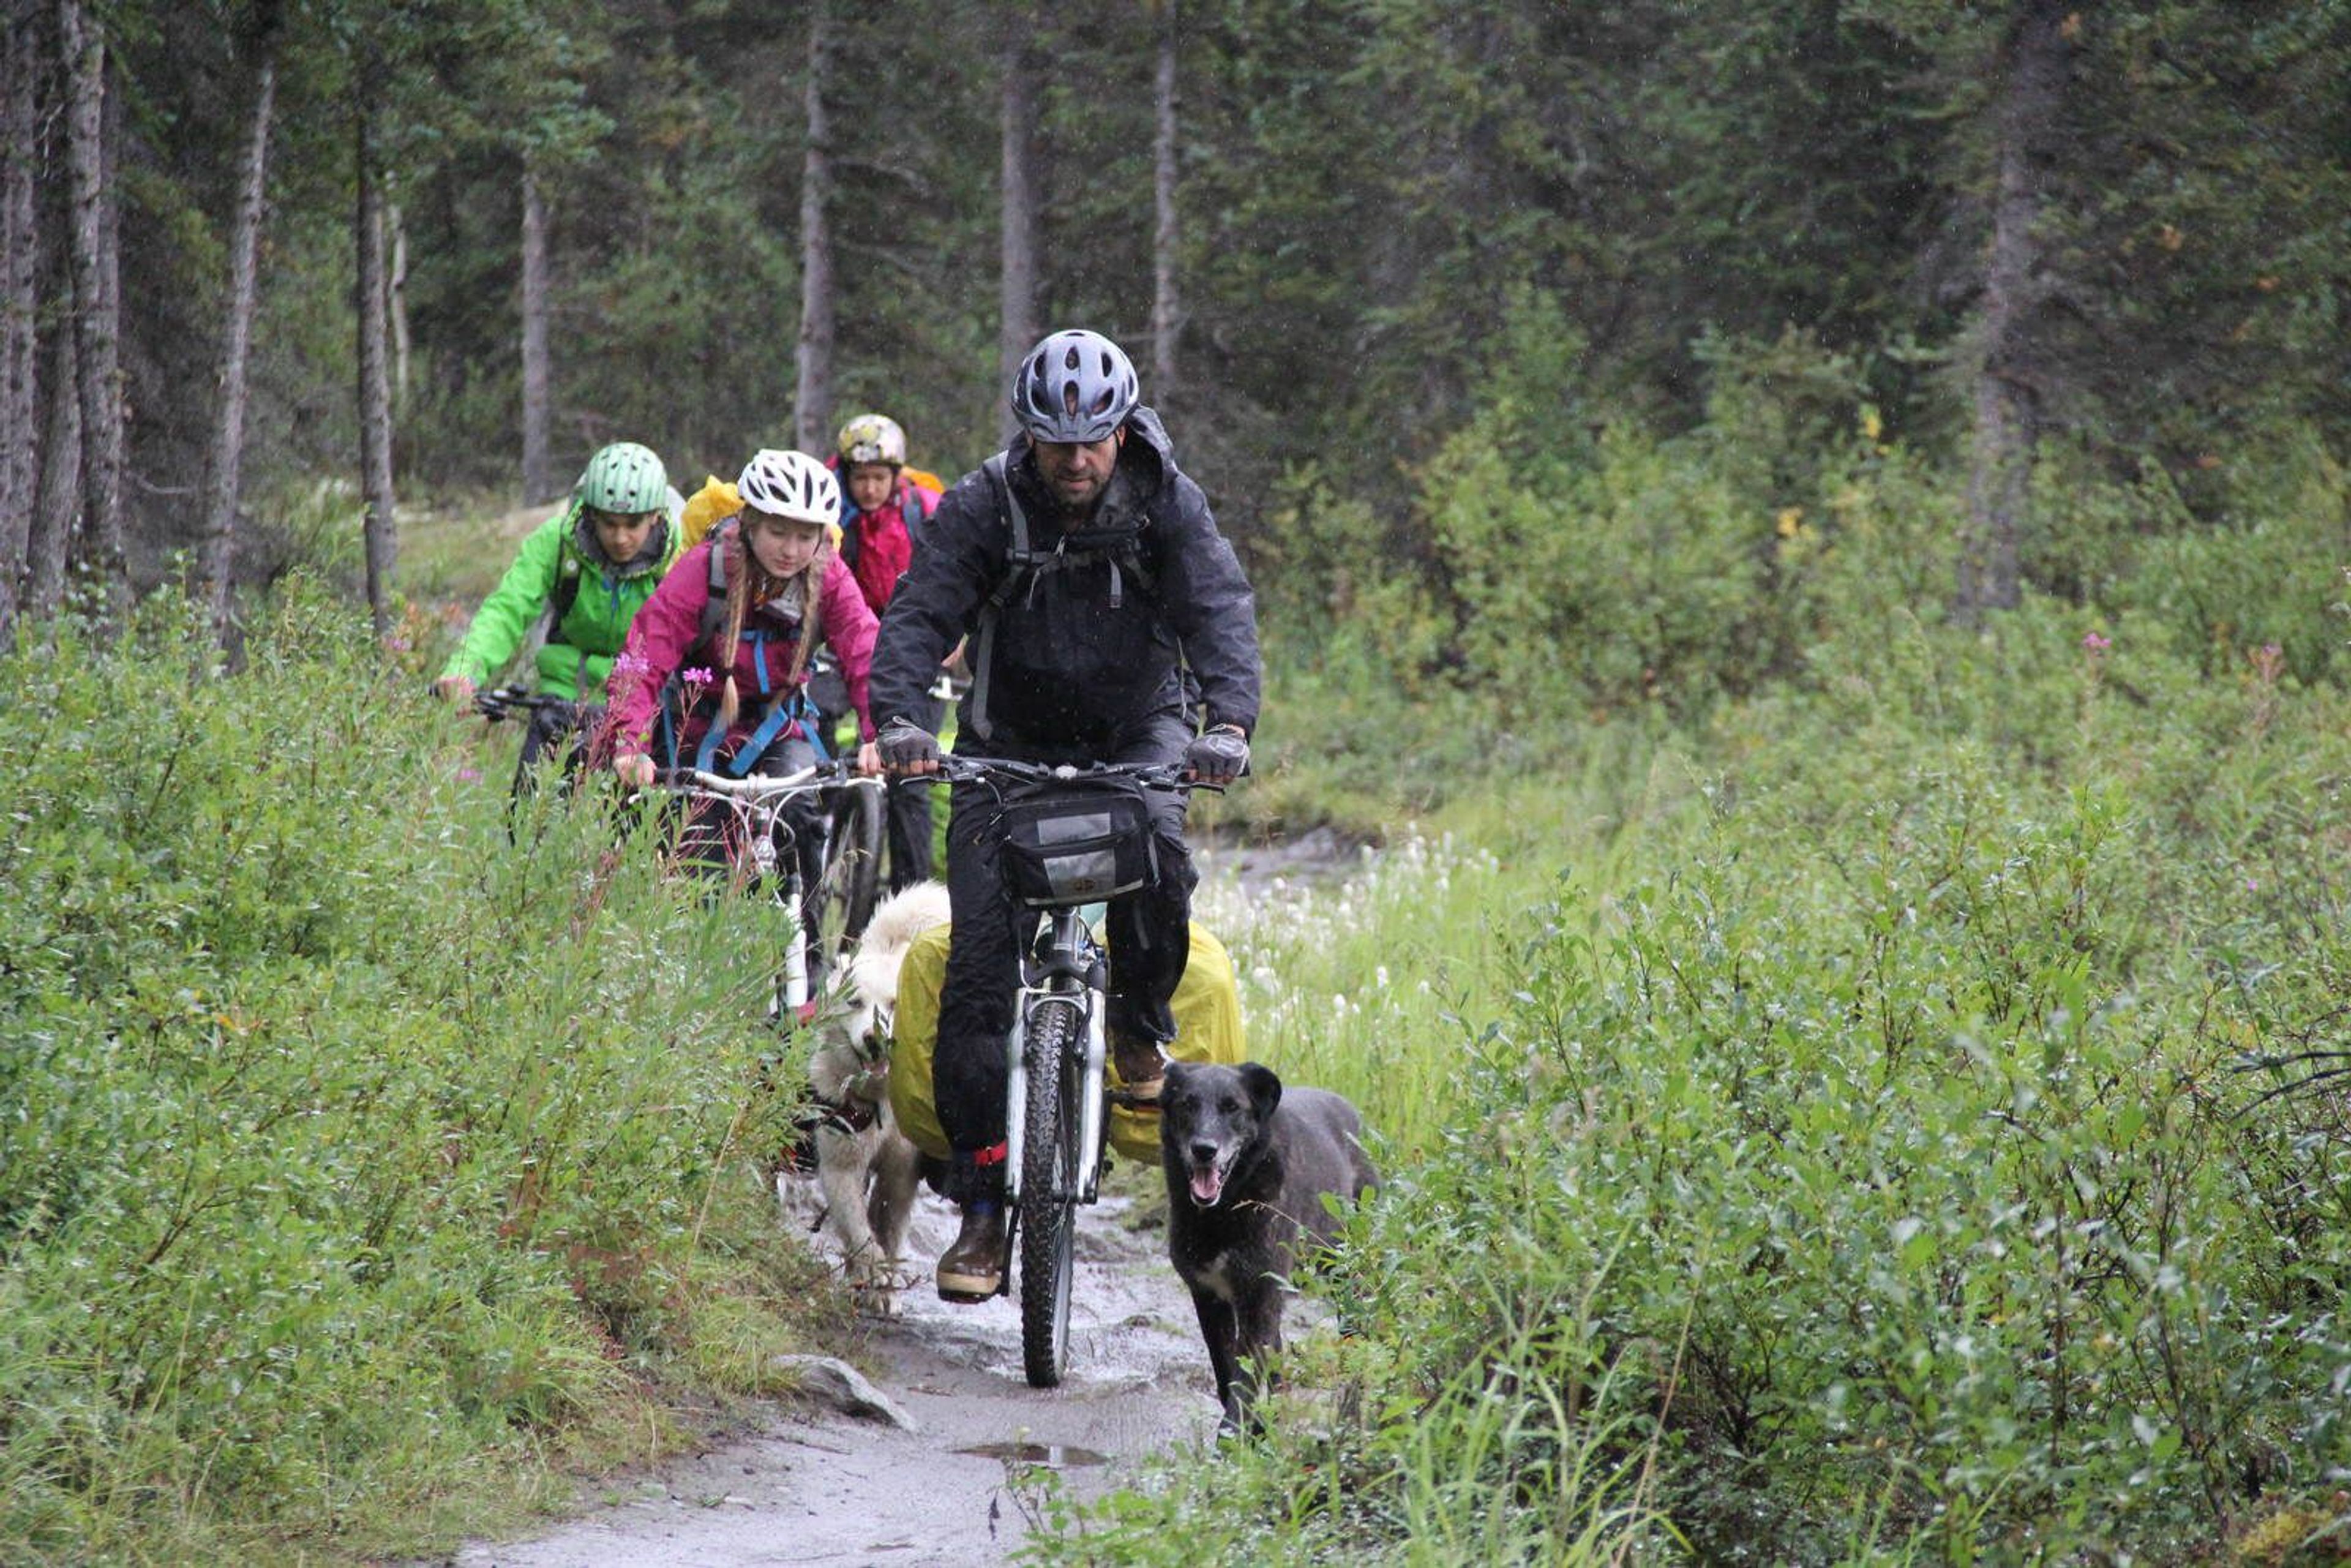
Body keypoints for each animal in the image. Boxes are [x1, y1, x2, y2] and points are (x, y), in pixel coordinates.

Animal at [790, 883, 954, 1316]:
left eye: (896, 1003)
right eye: (855, 1002)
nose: (874, 1038)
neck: (880, 1101)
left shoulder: (901, 1170)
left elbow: (888, 1225)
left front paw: (885, 1288)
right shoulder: (840, 1163)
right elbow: (858, 1227)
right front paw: (871, 1272)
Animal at [1157, 1053, 1373, 1438]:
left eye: (1232, 1107)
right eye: (1187, 1104)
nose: (1204, 1150)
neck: (1224, 1209)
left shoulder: (1259, 1297)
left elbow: (1245, 1376)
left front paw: (1231, 1437)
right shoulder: (1208, 1296)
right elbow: (1227, 1371)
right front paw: (1252, 1429)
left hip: (1349, 1281)